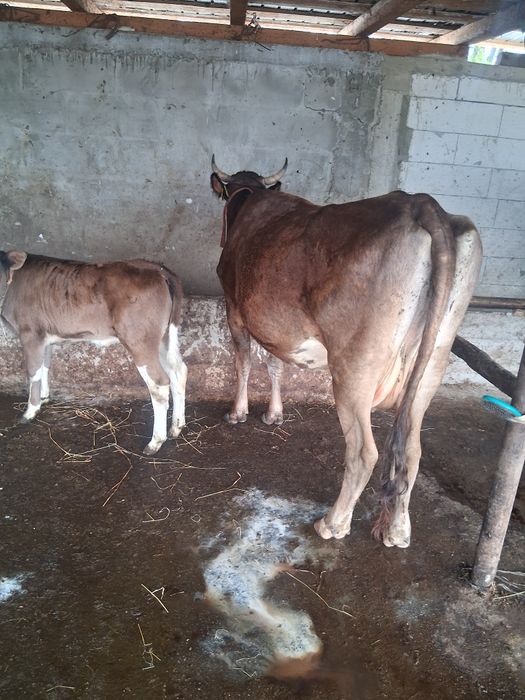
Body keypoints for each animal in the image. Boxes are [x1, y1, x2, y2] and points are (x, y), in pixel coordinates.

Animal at [0, 251, 187, 456]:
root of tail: (159, 269)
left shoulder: (30, 333)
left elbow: (33, 372)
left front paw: (30, 412)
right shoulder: (45, 336)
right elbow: (44, 366)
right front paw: (44, 397)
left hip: (139, 340)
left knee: (159, 382)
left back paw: (155, 442)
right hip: (164, 337)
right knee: (178, 371)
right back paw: (176, 427)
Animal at [210, 156, 482, 548]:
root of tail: (421, 204)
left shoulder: (234, 307)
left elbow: (243, 361)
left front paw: (238, 412)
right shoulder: (276, 326)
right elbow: (276, 366)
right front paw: (274, 414)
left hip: (356, 366)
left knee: (363, 452)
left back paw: (333, 524)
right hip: (435, 359)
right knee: (412, 449)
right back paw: (398, 531)